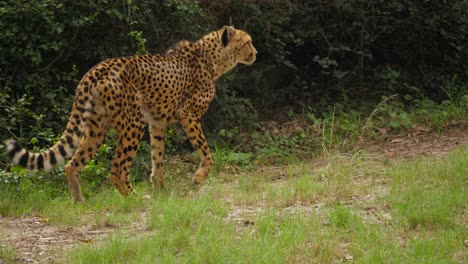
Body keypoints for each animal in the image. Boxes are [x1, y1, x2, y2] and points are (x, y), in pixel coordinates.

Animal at [6, 25, 256, 202]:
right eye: (247, 42)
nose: (256, 52)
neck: (212, 59)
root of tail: (98, 68)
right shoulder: (189, 114)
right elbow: (207, 153)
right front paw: (198, 177)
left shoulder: (157, 122)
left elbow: (158, 158)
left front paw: (162, 192)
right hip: (132, 124)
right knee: (117, 170)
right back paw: (135, 199)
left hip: (97, 127)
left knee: (72, 164)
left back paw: (79, 202)